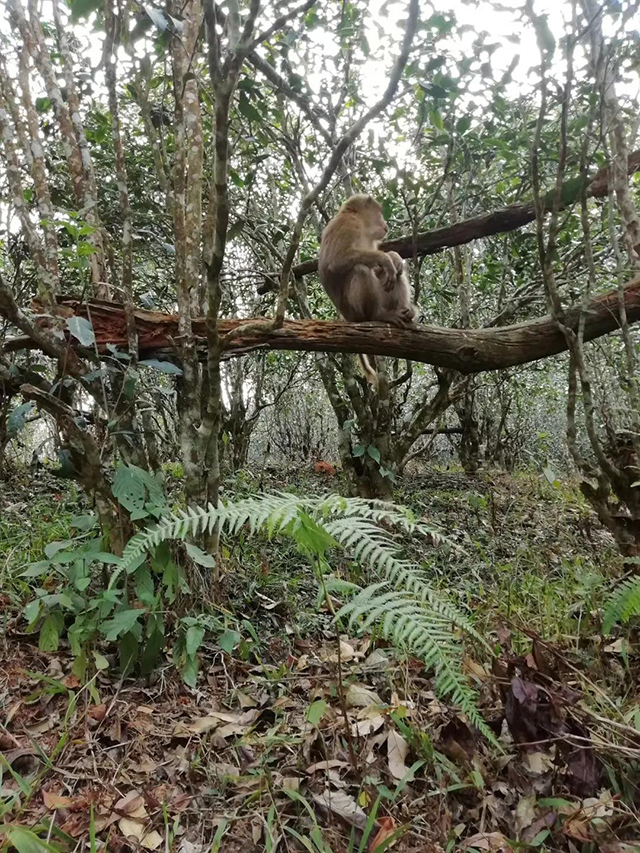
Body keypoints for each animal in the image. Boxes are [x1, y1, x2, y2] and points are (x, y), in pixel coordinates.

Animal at [318, 195, 418, 384]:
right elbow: (337, 260)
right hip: (353, 310)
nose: (385, 221)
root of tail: (347, 318)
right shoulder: (347, 225)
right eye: (379, 212)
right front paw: (385, 258)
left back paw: (406, 311)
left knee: (395, 274)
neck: (362, 226)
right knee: (360, 269)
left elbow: (383, 269)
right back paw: (379, 315)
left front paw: (394, 257)